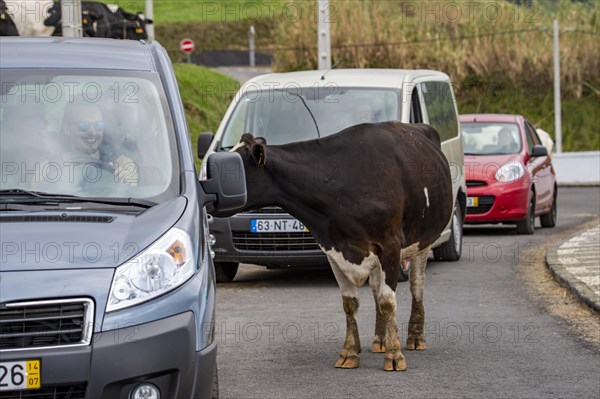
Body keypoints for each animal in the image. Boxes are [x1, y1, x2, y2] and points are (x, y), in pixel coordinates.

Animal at [213, 122, 452, 372]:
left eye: (232, 170)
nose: (206, 191)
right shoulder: (333, 248)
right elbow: (350, 303)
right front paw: (350, 352)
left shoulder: (390, 244)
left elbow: (388, 301)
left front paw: (395, 355)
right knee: (376, 289)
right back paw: (380, 340)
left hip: (423, 241)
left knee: (417, 285)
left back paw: (415, 337)